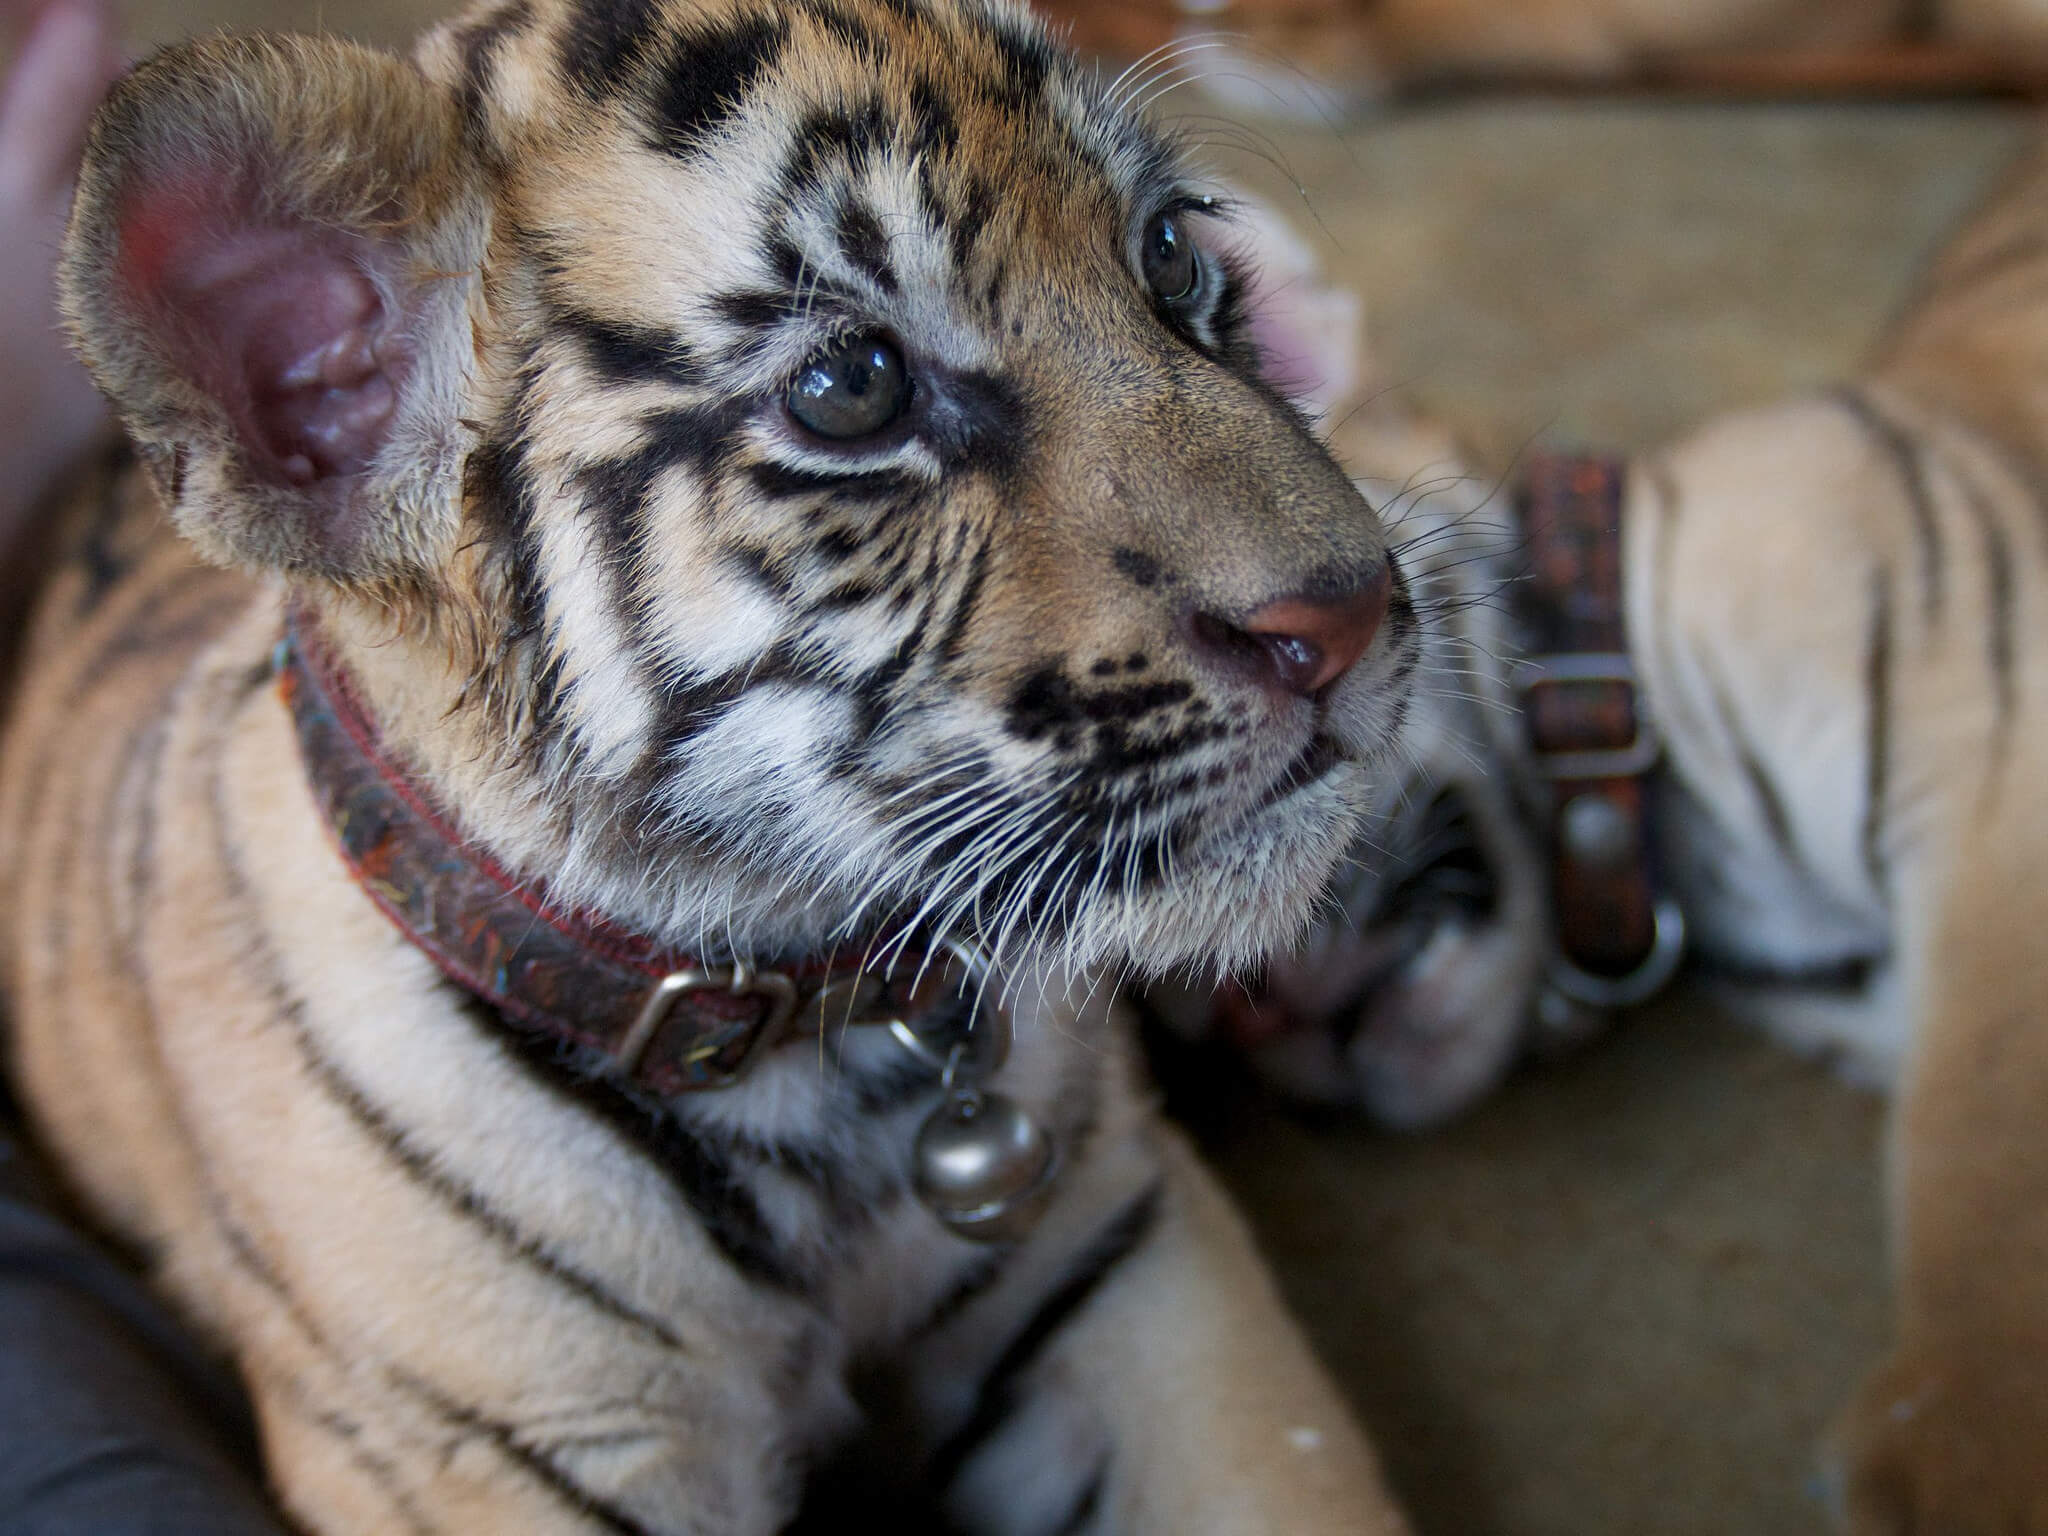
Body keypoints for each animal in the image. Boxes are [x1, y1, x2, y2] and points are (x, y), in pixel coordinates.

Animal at [0, 0, 1432, 1531]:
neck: (813, 1049)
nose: (1346, 613)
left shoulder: (1117, 1248)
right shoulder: (513, 1441)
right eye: (852, 387)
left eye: (1165, 250)